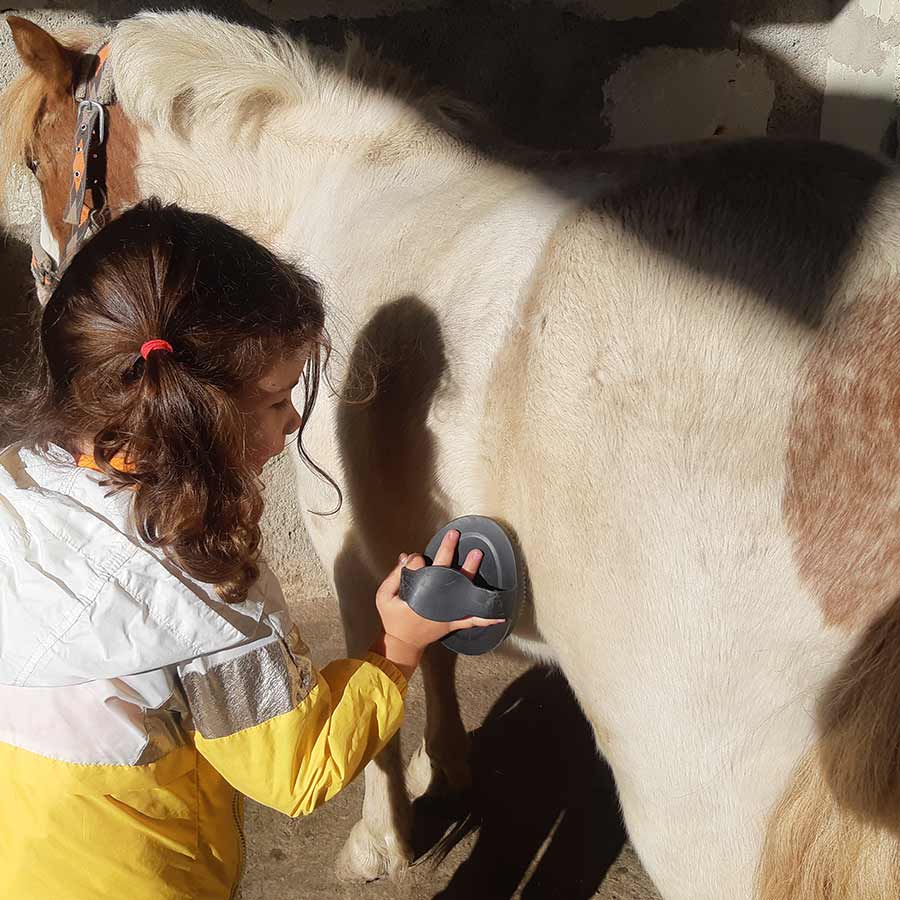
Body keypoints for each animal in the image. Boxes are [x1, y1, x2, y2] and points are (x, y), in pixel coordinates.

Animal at [1, 10, 900, 896]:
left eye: (34, 159)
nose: (43, 286)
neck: (337, 185)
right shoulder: (420, 526)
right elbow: (428, 652)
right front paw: (452, 770)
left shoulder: (347, 544)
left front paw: (381, 842)